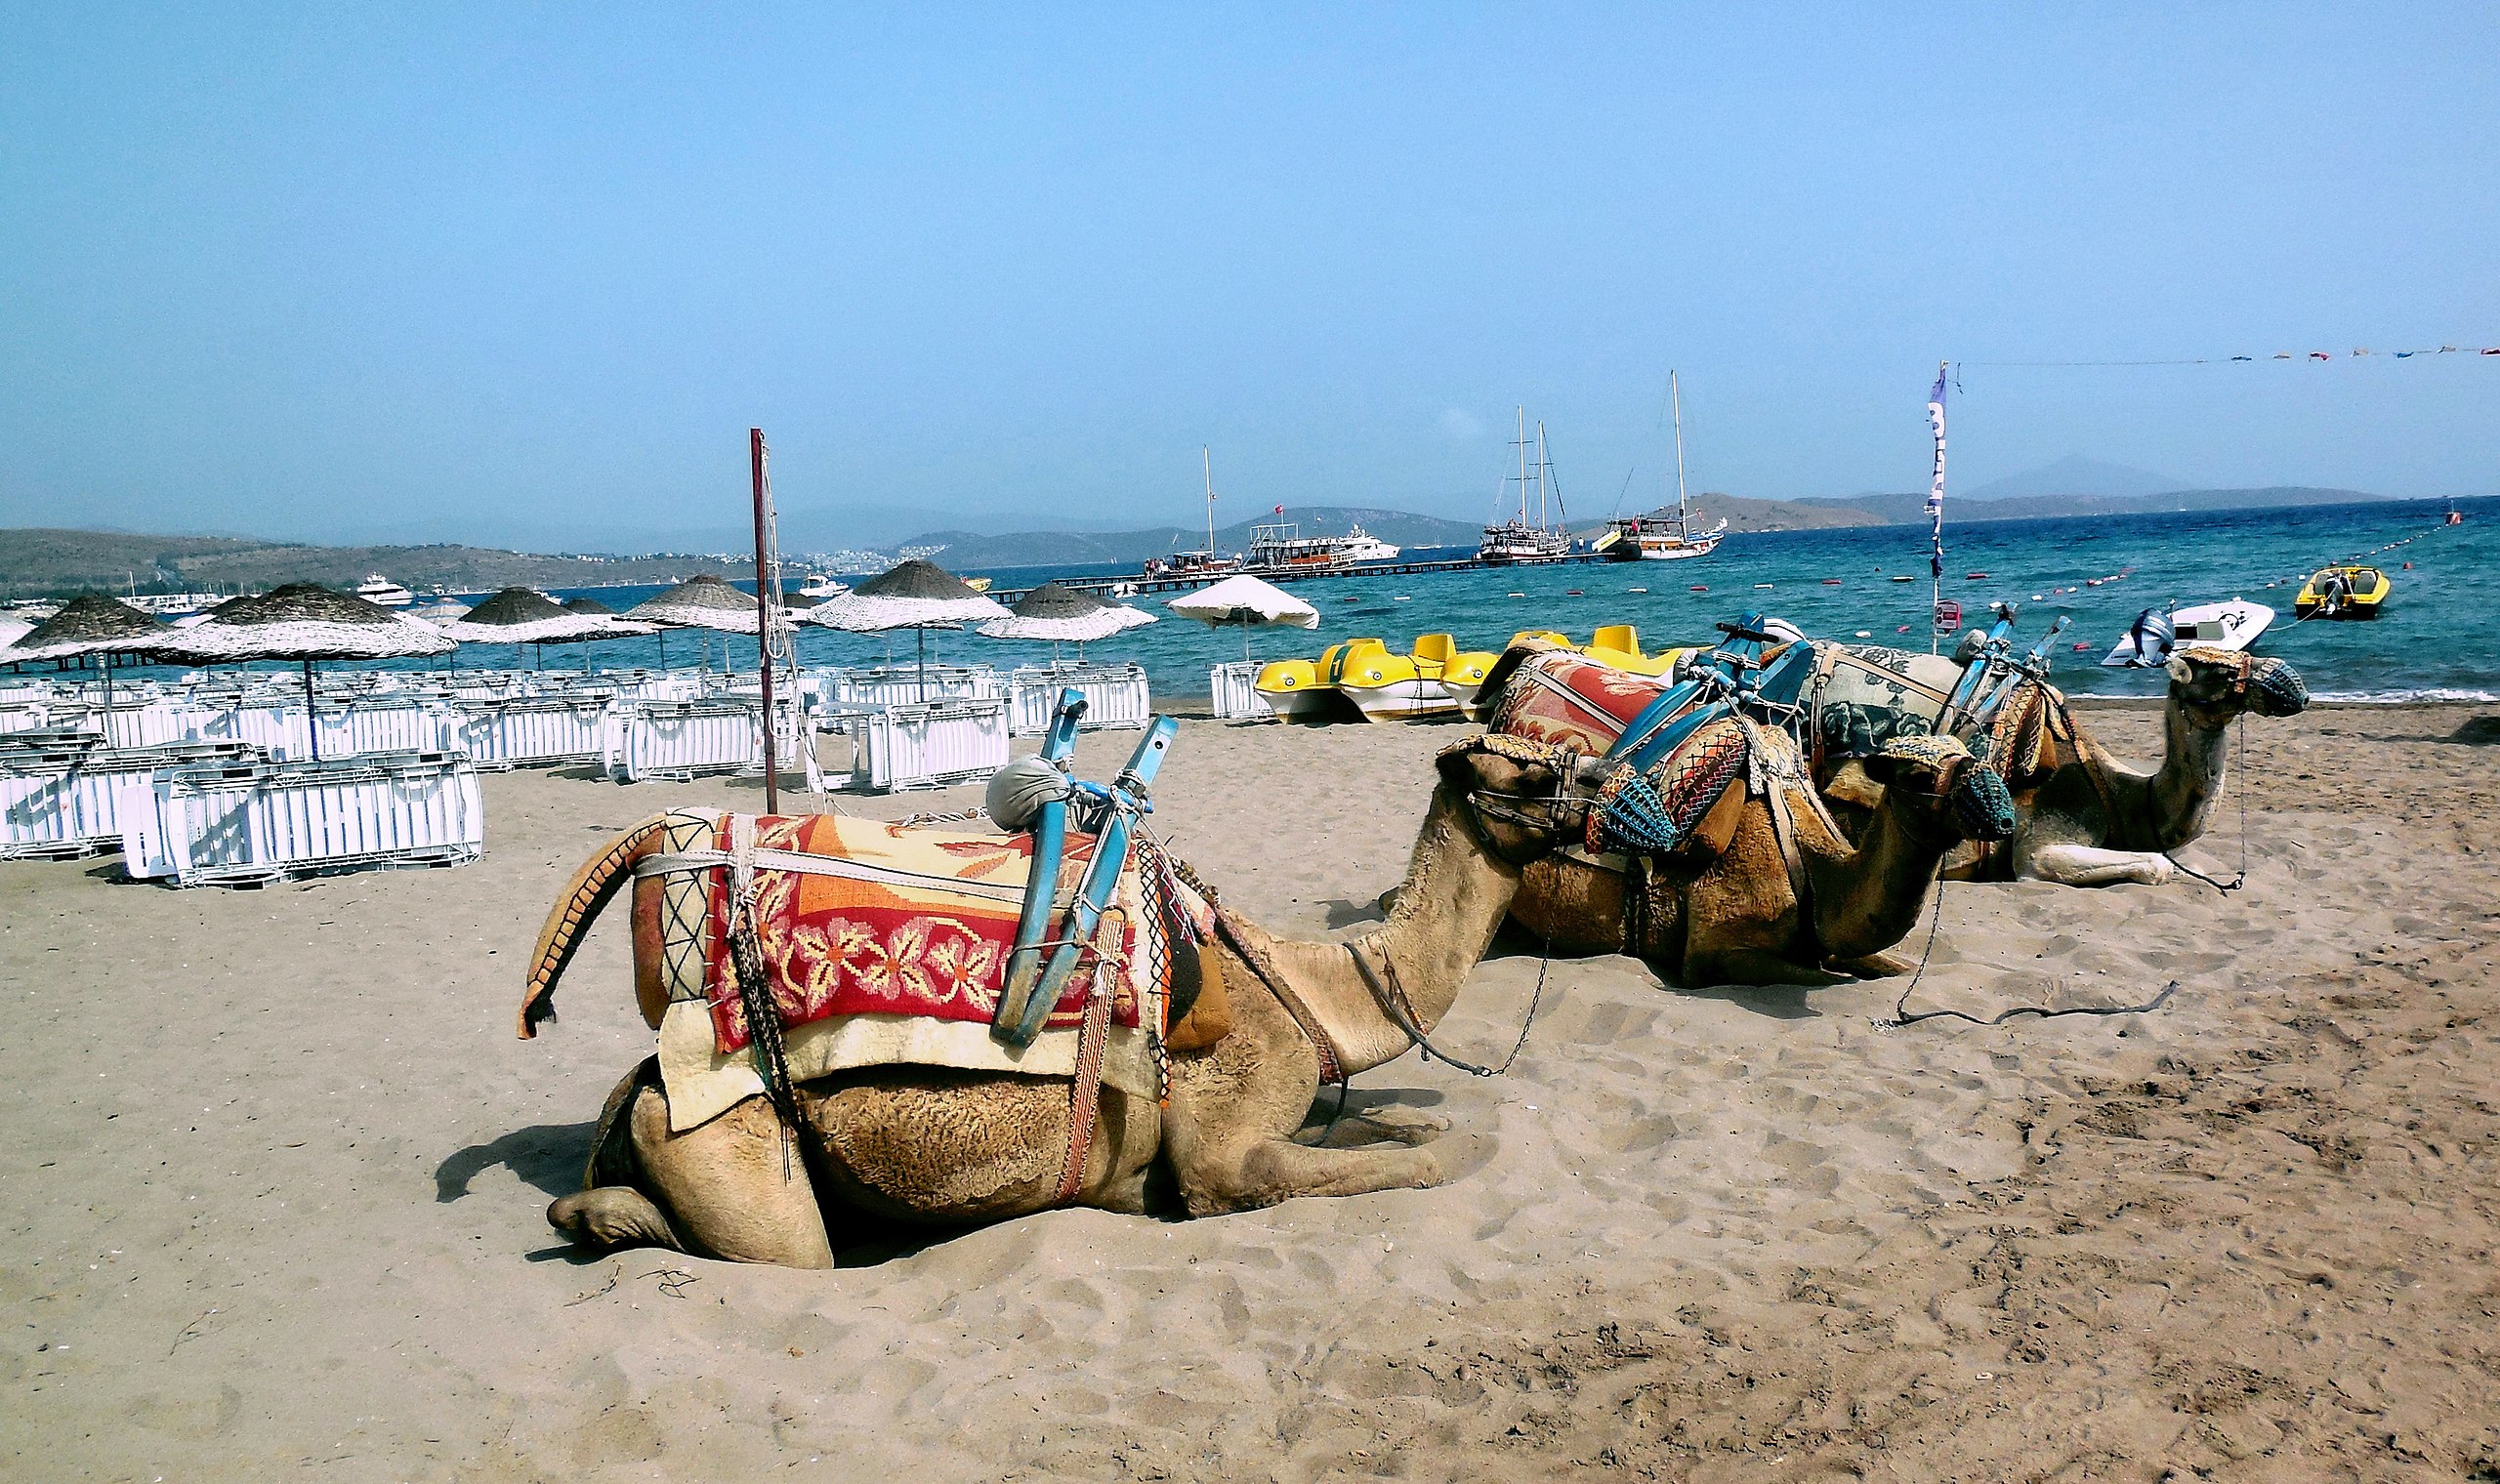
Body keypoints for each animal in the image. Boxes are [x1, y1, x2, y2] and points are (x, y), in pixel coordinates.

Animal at [516, 735, 1610, 1268]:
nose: (1615, 796)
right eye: (1530, 771)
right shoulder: (1224, 1151)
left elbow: (1391, 1130)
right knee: (783, 1250)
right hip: (732, 1147)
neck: (1305, 985)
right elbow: (1417, 1162)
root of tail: (644, 1086)